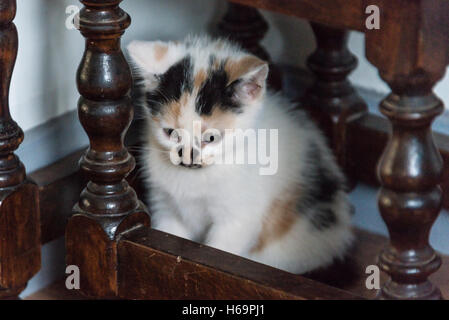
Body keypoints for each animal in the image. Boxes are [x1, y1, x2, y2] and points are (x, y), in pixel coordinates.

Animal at [127, 36, 354, 274]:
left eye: (211, 138)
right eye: (171, 133)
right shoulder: (166, 205)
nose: (187, 156)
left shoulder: (239, 218)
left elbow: (220, 252)